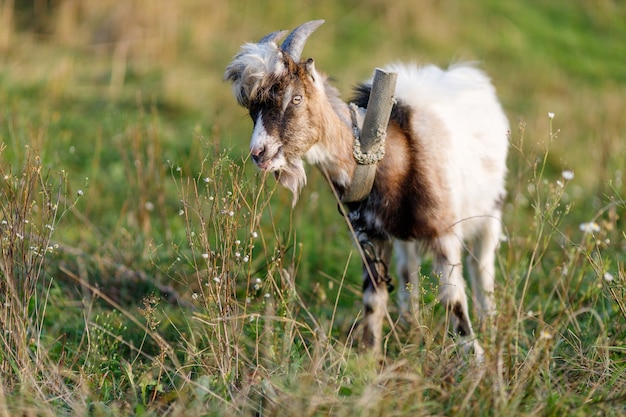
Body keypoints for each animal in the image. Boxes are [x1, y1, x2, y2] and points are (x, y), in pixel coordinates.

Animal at [224, 20, 508, 358]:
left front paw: (474, 358)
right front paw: (369, 357)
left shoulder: (444, 232)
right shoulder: (370, 236)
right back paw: (410, 322)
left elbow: (453, 299)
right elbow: (374, 300)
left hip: (491, 209)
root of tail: (467, 72)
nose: (259, 153)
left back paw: (490, 322)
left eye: (296, 99)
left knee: (482, 267)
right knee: (407, 268)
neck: (393, 158)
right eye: (252, 108)